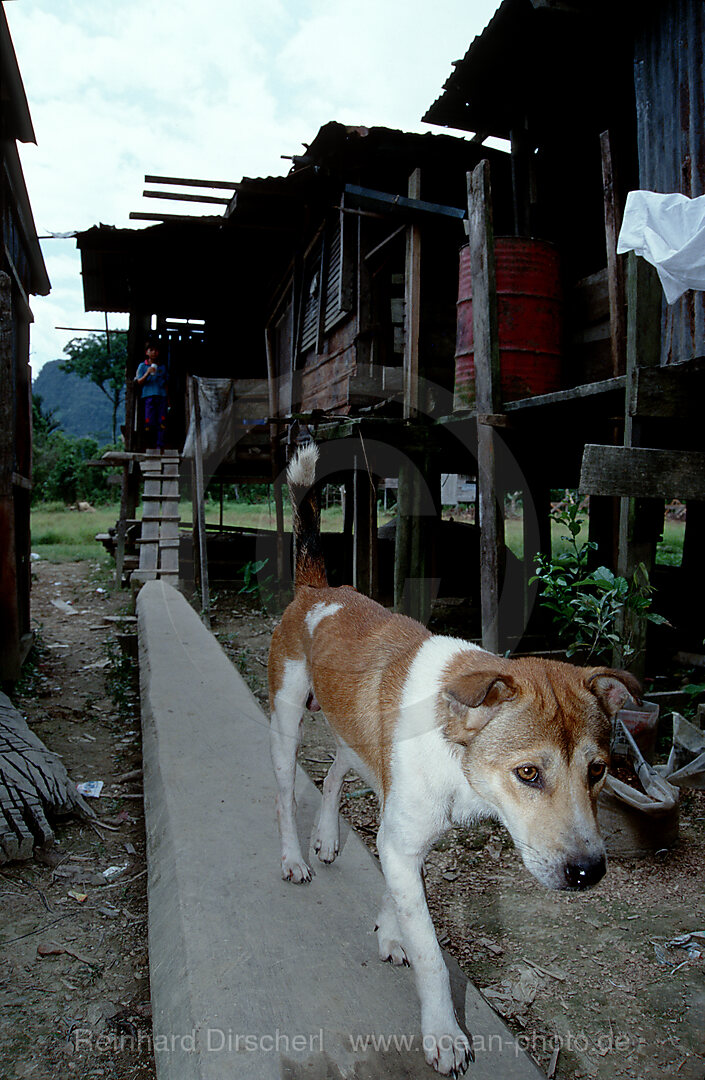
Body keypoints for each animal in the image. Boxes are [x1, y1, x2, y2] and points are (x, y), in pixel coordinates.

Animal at [267, 442, 639, 1075]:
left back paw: (327, 838)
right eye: (528, 773)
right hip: (288, 718)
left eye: (598, 770)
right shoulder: (402, 835)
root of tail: (316, 591)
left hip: (360, 744)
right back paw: (296, 856)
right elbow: (432, 957)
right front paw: (443, 1031)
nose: (588, 873)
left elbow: (401, 895)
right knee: (284, 792)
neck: (455, 744)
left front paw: (391, 932)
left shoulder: (406, 833)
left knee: (337, 769)